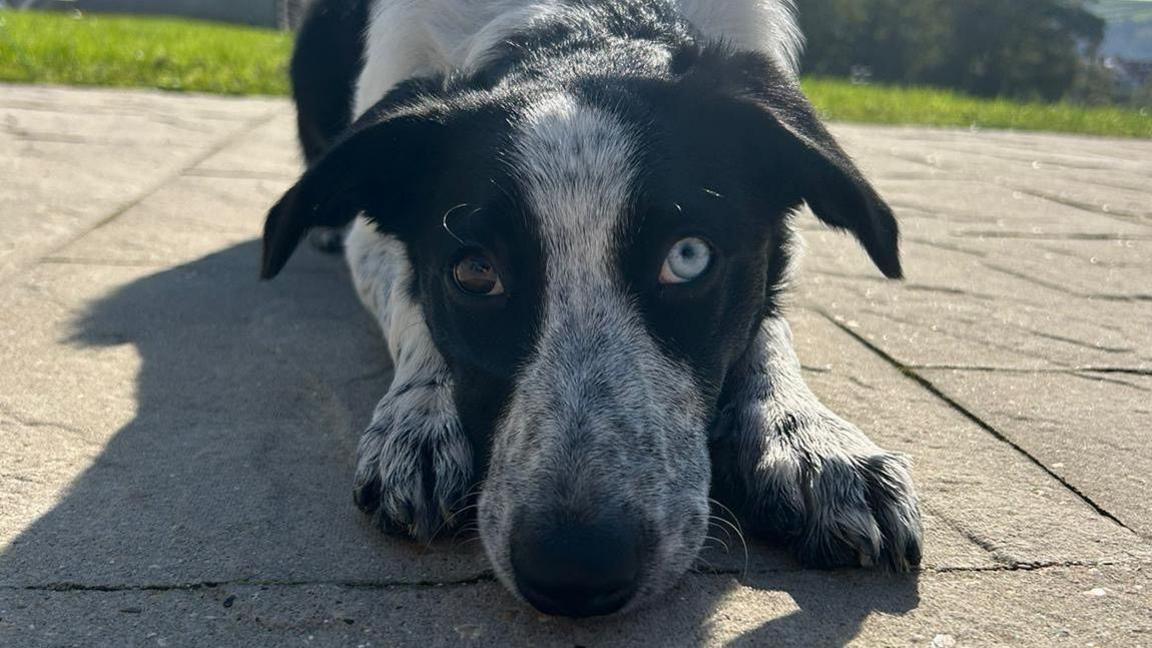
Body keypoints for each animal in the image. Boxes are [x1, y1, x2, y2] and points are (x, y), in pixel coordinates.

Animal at [261, 0, 916, 618]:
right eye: (474, 272)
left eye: (688, 256)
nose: (575, 568)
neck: (585, 24)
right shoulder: (376, 240)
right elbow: (408, 298)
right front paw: (420, 416)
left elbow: (769, 326)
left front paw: (811, 440)